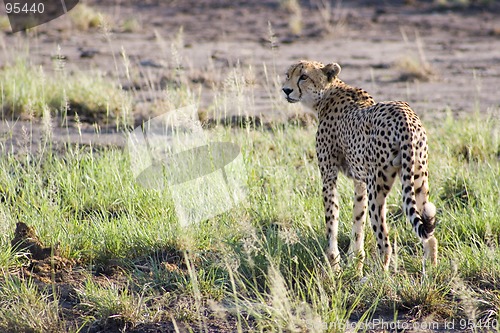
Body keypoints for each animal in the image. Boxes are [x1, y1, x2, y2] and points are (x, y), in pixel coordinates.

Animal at [284, 60, 436, 272]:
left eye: (303, 76)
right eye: (288, 74)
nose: (286, 90)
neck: (327, 94)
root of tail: (405, 115)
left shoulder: (329, 177)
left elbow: (332, 219)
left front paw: (334, 264)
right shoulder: (360, 181)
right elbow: (358, 218)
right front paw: (355, 261)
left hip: (378, 187)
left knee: (385, 243)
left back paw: (376, 277)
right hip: (418, 177)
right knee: (430, 236)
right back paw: (432, 272)